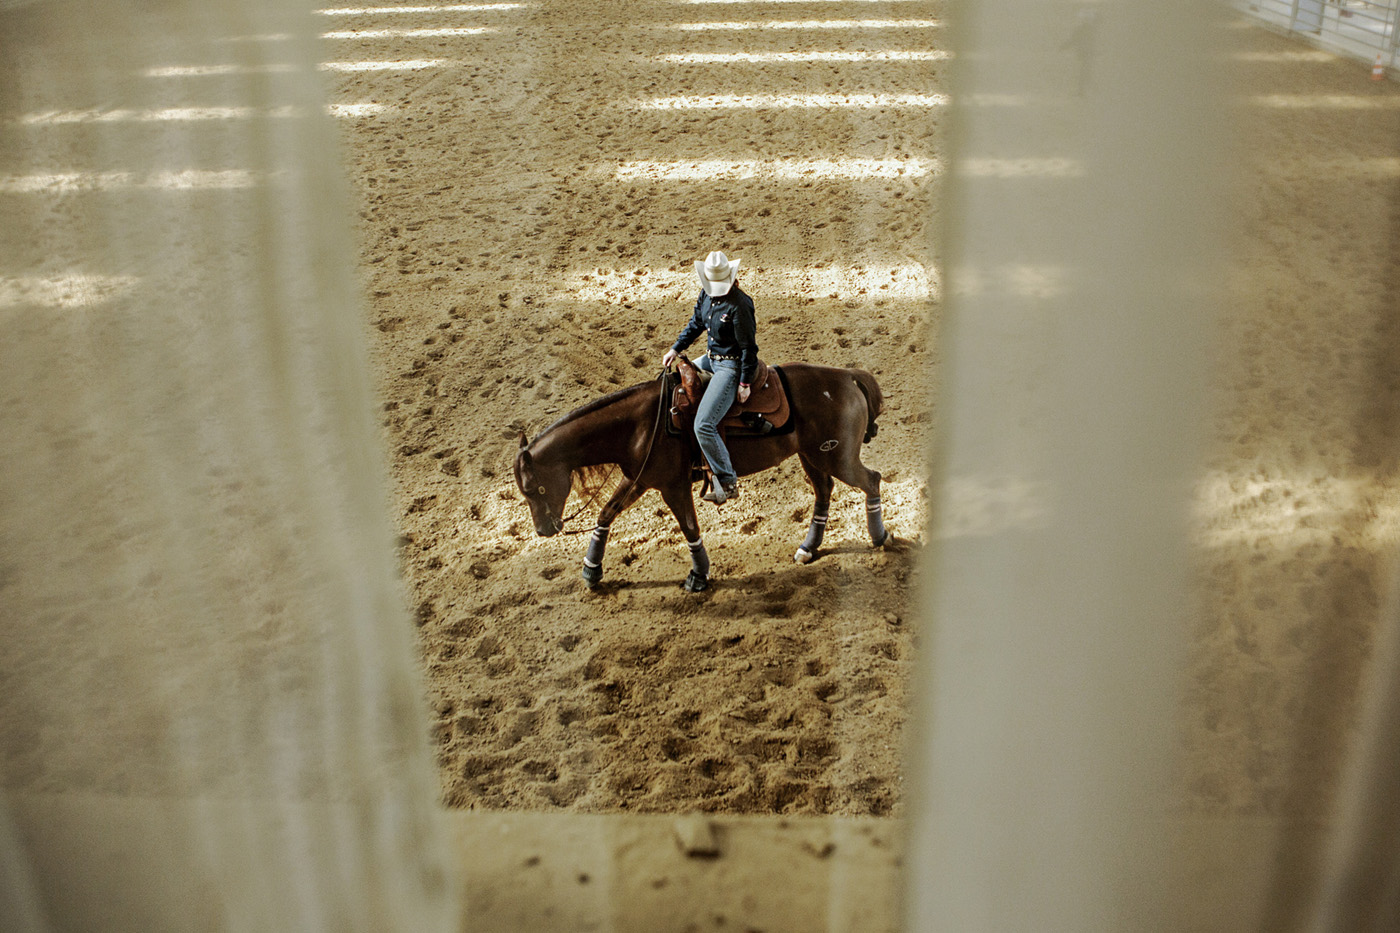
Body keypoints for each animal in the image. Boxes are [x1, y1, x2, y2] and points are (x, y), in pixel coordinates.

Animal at [518, 361, 896, 588]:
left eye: (536, 488)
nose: (543, 530)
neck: (642, 423)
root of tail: (847, 377)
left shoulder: (673, 486)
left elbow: (689, 529)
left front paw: (698, 576)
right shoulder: (638, 479)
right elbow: (605, 514)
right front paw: (591, 570)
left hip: (838, 457)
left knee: (871, 480)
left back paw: (881, 538)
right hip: (813, 457)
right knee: (824, 493)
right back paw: (807, 549)